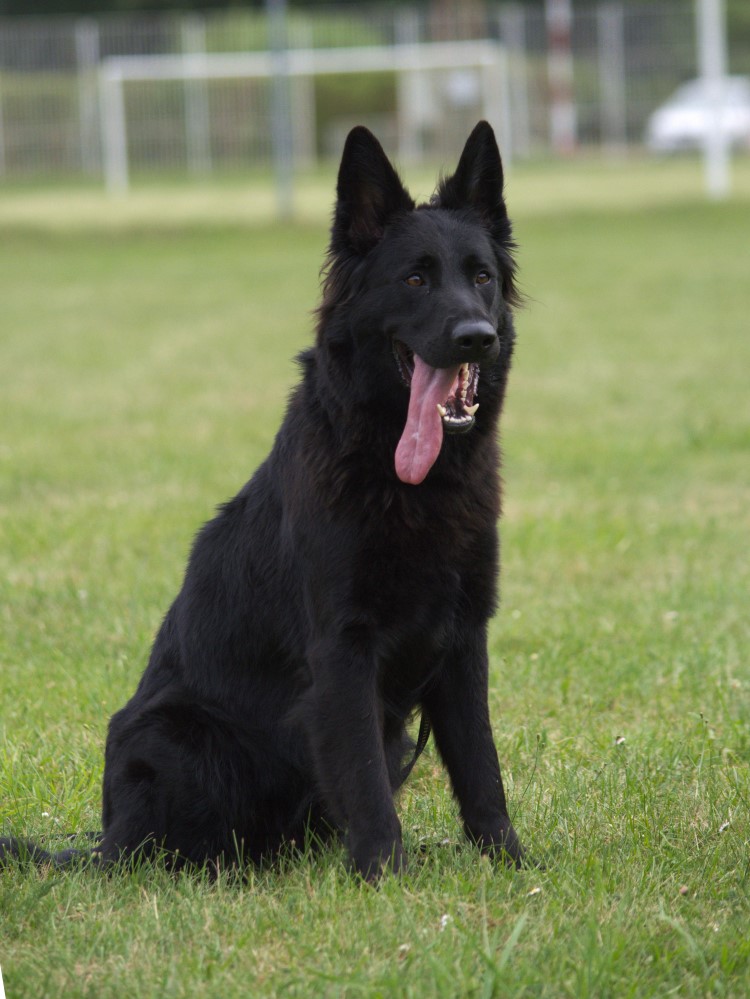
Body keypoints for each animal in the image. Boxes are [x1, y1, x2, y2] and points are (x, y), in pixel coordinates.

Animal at [1, 121, 522, 880]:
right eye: (415, 278)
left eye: (481, 276)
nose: (475, 338)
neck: (400, 476)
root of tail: (102, 843)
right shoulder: (342, 649)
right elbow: (364, 777)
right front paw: (385, 876)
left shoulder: (462, 640)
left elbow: (482, 768)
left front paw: (512, 863)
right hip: (176, 734)